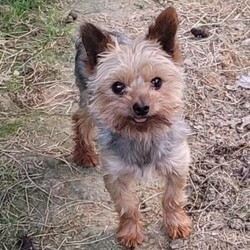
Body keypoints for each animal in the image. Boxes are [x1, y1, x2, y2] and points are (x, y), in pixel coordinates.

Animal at [72, 6, 191, 249]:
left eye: (157, 82)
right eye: (118, 87)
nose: (141, 107)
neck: (143, 135)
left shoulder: (177, 162)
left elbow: (172, 198)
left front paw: (176, 224)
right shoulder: (115, 174)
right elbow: (127, 207)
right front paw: (130, 233)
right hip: (89, 103)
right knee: (80, 120)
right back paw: (84, 152)